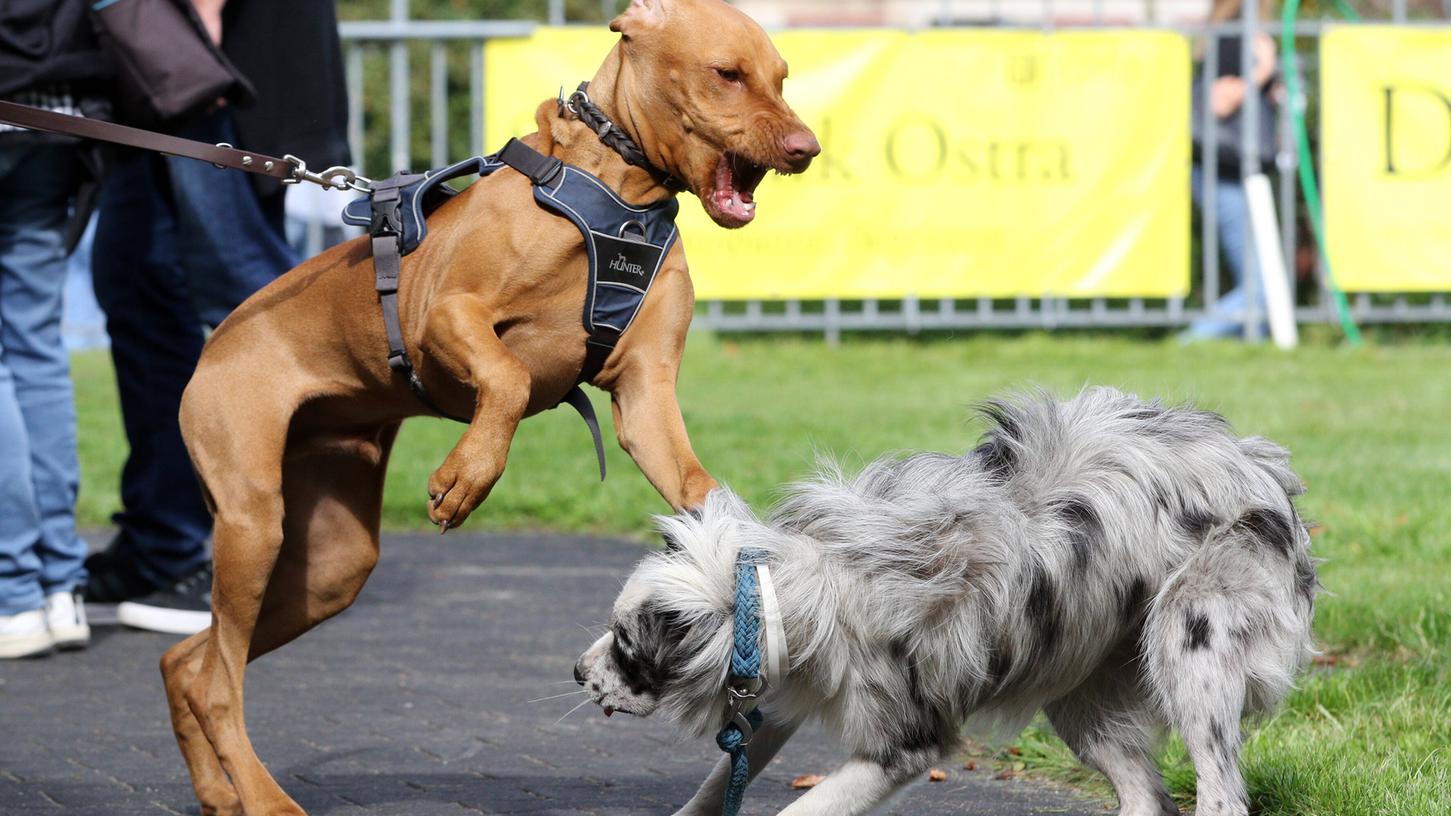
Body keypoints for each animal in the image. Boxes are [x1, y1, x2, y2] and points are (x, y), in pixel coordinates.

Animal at [158, 1, 818, 813]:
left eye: (781, 78)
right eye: (727, 73)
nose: (807, 148)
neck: (616, 197)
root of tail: (214, 343)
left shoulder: (646, 398)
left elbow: (701, 492)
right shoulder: (442, 314)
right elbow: (506, 378)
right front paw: (466, 476)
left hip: (331, 566)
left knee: (190, 662)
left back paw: (220, 792)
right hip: (253, 522)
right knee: (220, 682)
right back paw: (262, 797)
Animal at [574, 386, 1317, 813]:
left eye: (625, 643)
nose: (578, 673)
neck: (790, 590)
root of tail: (1263, 465)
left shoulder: (908, 740)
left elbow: (804, 808)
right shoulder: (780, 694)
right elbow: (716, 785)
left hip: (1190, 648)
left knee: (1221, 796)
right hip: (1078, 689)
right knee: (1145, 794)